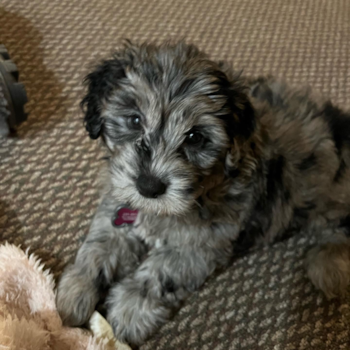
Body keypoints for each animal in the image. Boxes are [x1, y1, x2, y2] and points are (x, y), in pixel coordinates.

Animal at [56, 40, 350, 344]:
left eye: (195, 137)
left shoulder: (201, 246)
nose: (149, 186)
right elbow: (100, 244)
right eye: (135, 120)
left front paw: (131, 308)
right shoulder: (117, 207)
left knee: (339, 227)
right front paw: (76, 289)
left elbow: (162, 271)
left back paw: (327, 265)